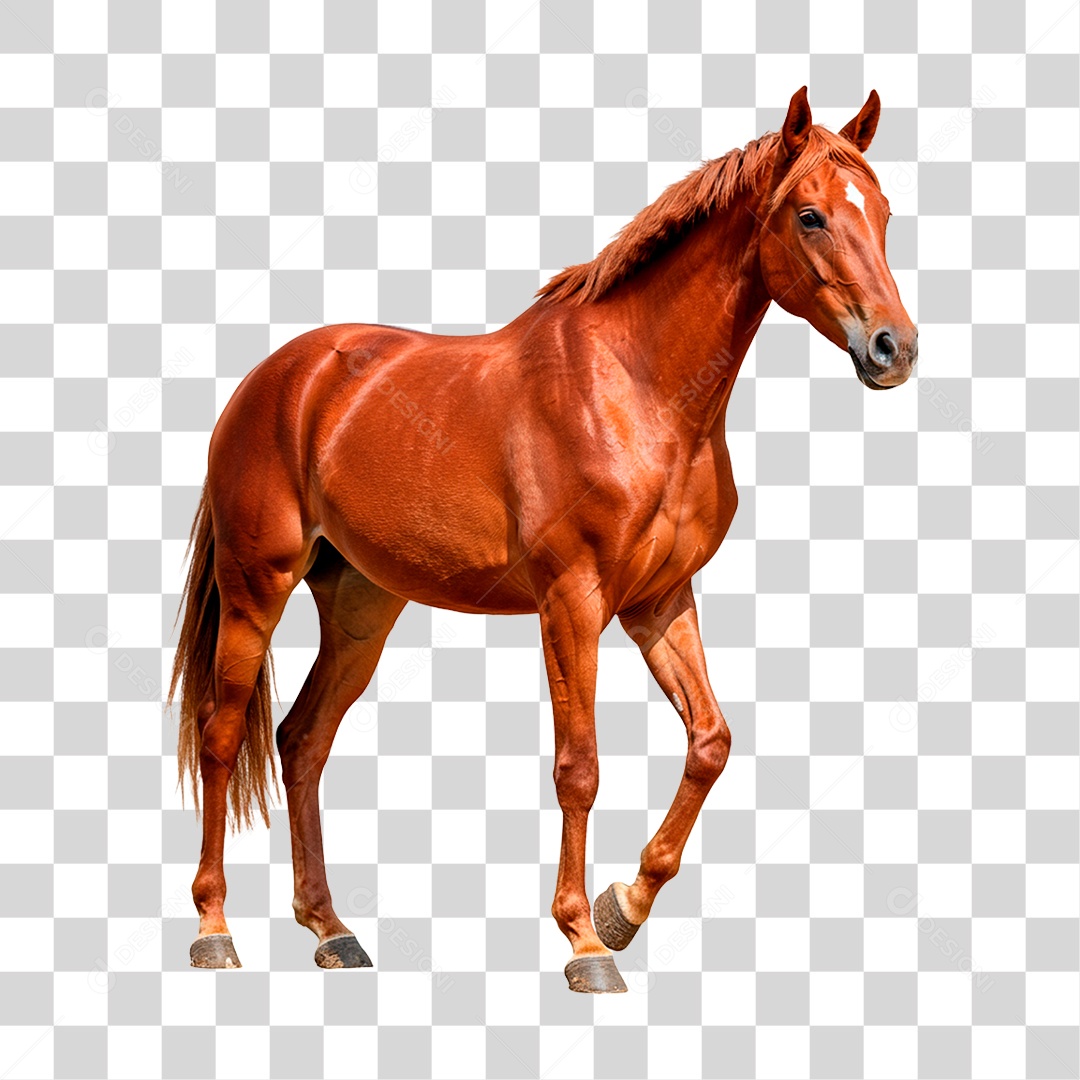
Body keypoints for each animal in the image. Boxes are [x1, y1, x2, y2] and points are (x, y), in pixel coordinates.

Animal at [169, 86, 917, 992]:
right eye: (810, 215)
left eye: (883, 211)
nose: (894, 348)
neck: (638, 389)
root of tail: (274, 380)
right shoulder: (572, 603)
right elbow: (579, 766)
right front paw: (584, 944)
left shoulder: (658, 603)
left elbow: (710, 743)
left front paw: (623, 906)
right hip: (257, 588)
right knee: (221, 734)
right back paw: (213, 929)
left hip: (361, 606)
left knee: (301, 740)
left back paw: (331, 931)